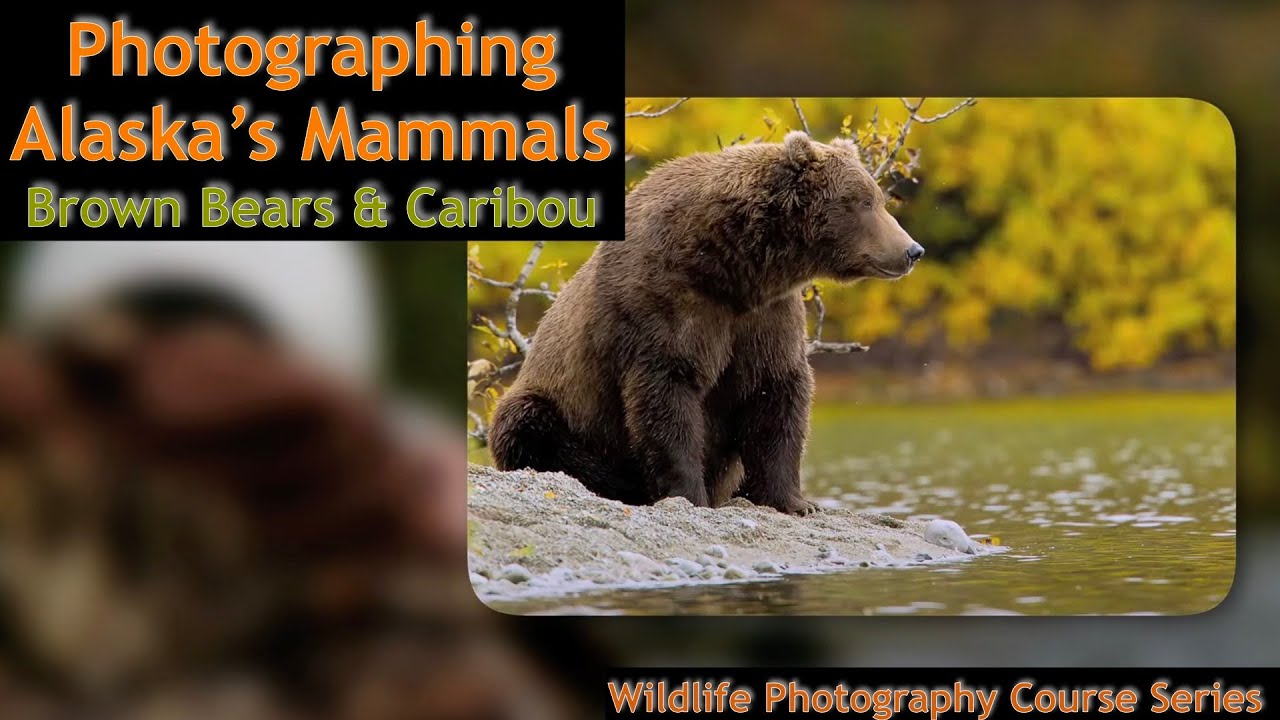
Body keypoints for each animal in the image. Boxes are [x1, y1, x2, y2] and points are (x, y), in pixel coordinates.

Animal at [488, 131, 924, 515]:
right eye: (863, 201)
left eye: (877, 198)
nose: (912, 250)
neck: (734, 266)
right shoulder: (666, 303)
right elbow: (669, 395)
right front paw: (688, 494)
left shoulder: (766, 316)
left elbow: (775, 393)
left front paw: (796, 501)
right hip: (554, 404)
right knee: (529, 427)